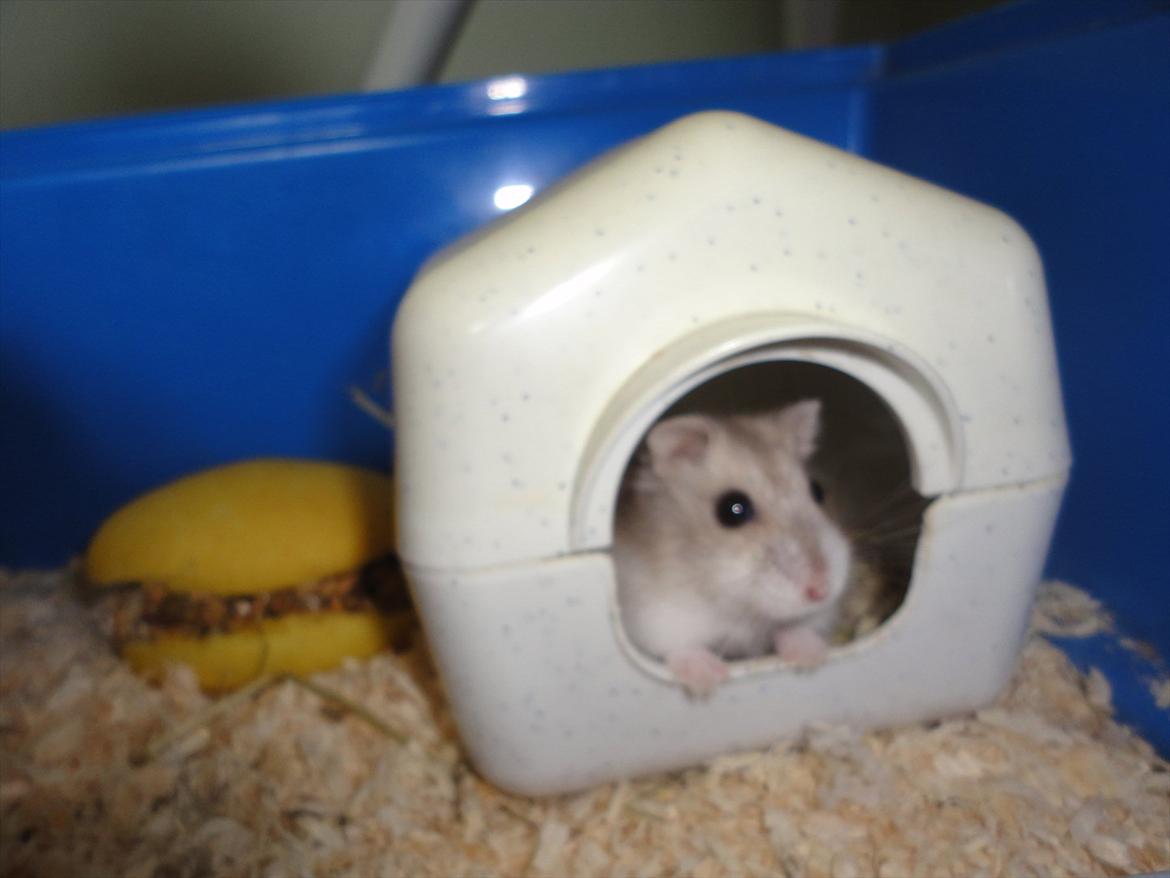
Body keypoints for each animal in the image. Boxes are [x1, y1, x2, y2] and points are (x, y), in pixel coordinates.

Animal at [613, 400, 852, 696]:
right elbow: (679, 647)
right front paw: (711, 678)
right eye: (732, 509)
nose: (820, 591)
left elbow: (797, 627)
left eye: (818, 490)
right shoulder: (651, 614)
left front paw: (811, 656)